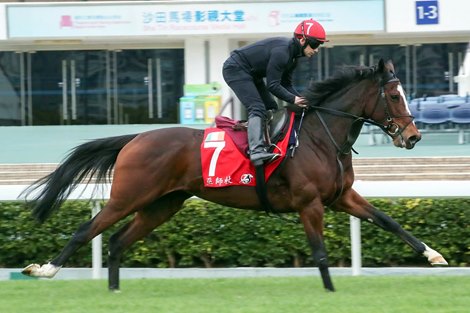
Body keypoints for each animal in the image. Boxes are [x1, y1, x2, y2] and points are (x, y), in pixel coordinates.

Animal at [22, 59, 448, 292]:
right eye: (393, 96)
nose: (412, 136)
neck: (320, 135)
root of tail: (135, 138)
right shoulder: (309, 203)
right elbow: (320, 252)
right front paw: (330, 292)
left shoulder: (341, 197)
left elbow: (388, 221)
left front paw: (433, 255)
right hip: (130, 196)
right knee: (87, 230)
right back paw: (45, 269)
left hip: (163, 204)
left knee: (115, 241)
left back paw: (114, 291)